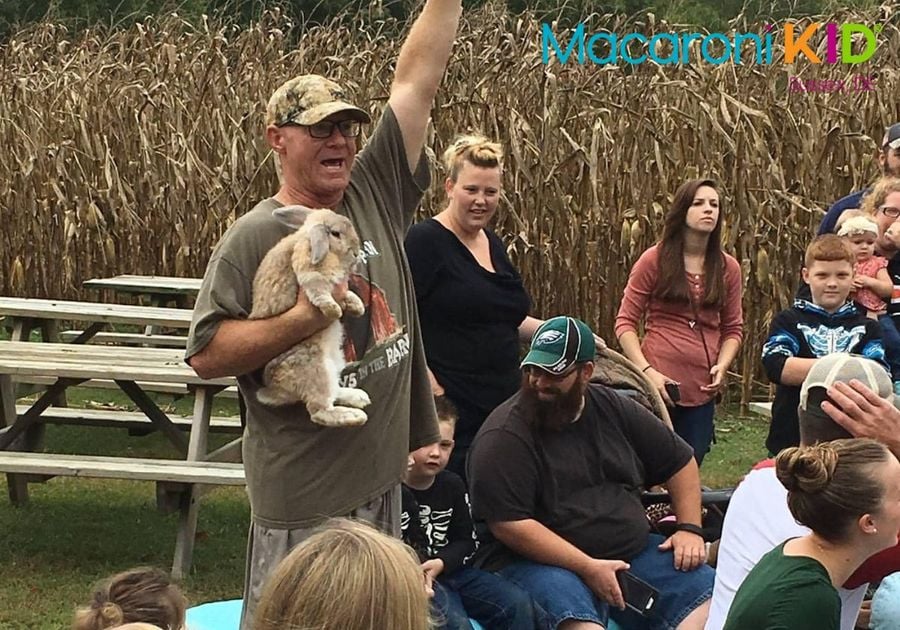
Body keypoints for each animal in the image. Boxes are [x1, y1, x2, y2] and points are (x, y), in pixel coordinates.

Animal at [250, 207, 370, 430]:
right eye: (336, 233)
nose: (356, 252)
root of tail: (275, 391)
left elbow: (348, 295)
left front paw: (357, 306)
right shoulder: (310, 272)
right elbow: (319, 290)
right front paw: (334, 311)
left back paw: (359, 397)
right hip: (317, 369)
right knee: (319, 411)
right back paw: (355, 415)